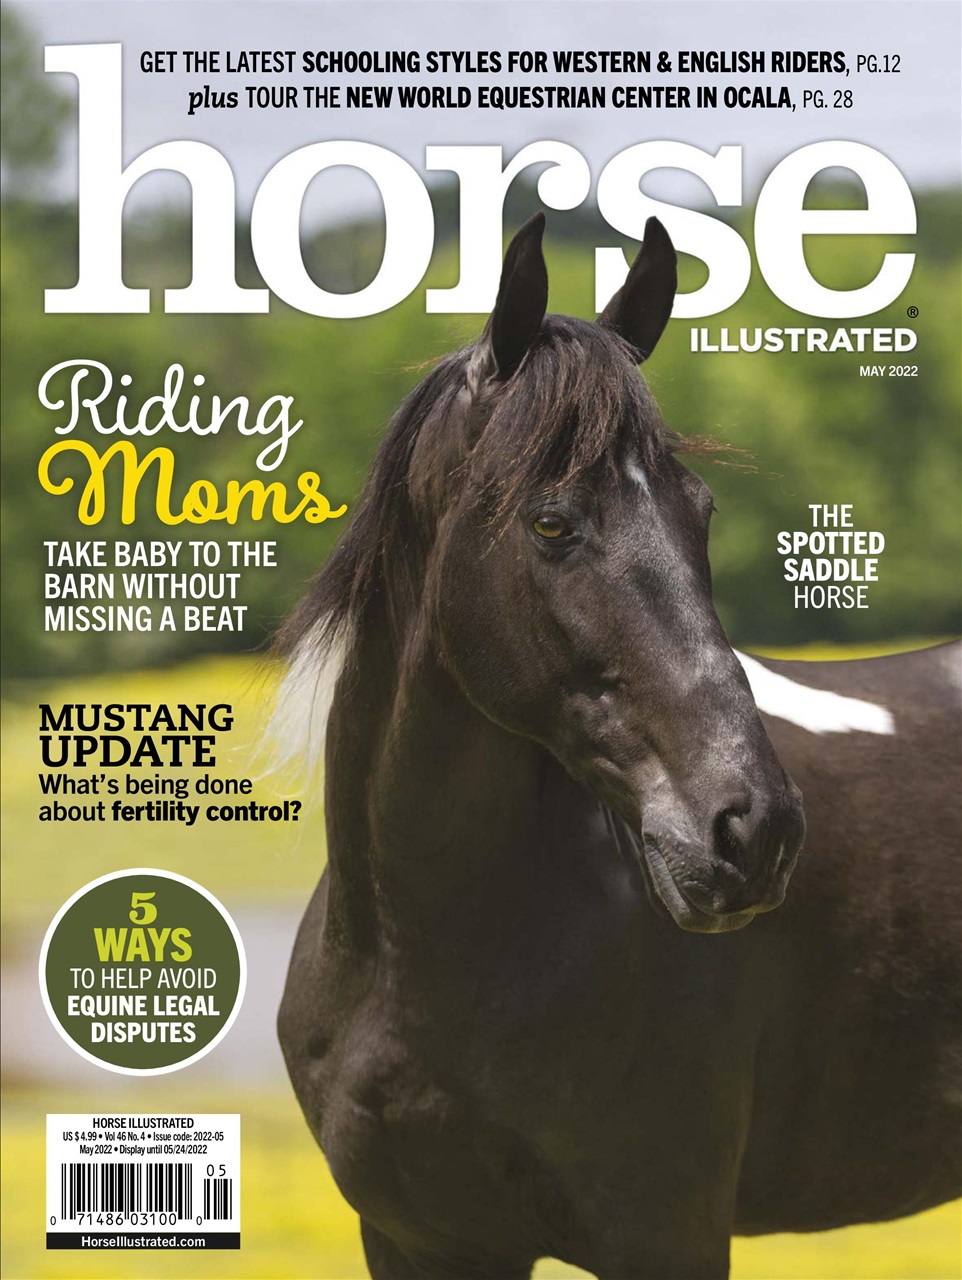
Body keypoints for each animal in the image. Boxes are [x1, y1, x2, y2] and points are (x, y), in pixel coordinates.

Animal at [277, 214, 961, 1279]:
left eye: (701, 512)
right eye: (552, 522)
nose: (754, 830)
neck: (410, 964)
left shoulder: (665, 1234)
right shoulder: (415, 1242)